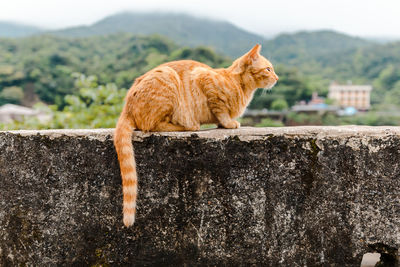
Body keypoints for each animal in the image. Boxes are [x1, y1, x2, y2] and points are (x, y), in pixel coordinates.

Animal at [115, 44, 278, 228]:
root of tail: (126, 106)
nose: (277, 78)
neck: (241, 86)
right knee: (150, 125)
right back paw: (189, 125)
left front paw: (224, 124)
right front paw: (229, 123)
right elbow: (221, 111)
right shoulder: (205, 80)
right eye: (268, 69)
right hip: (168, 78)